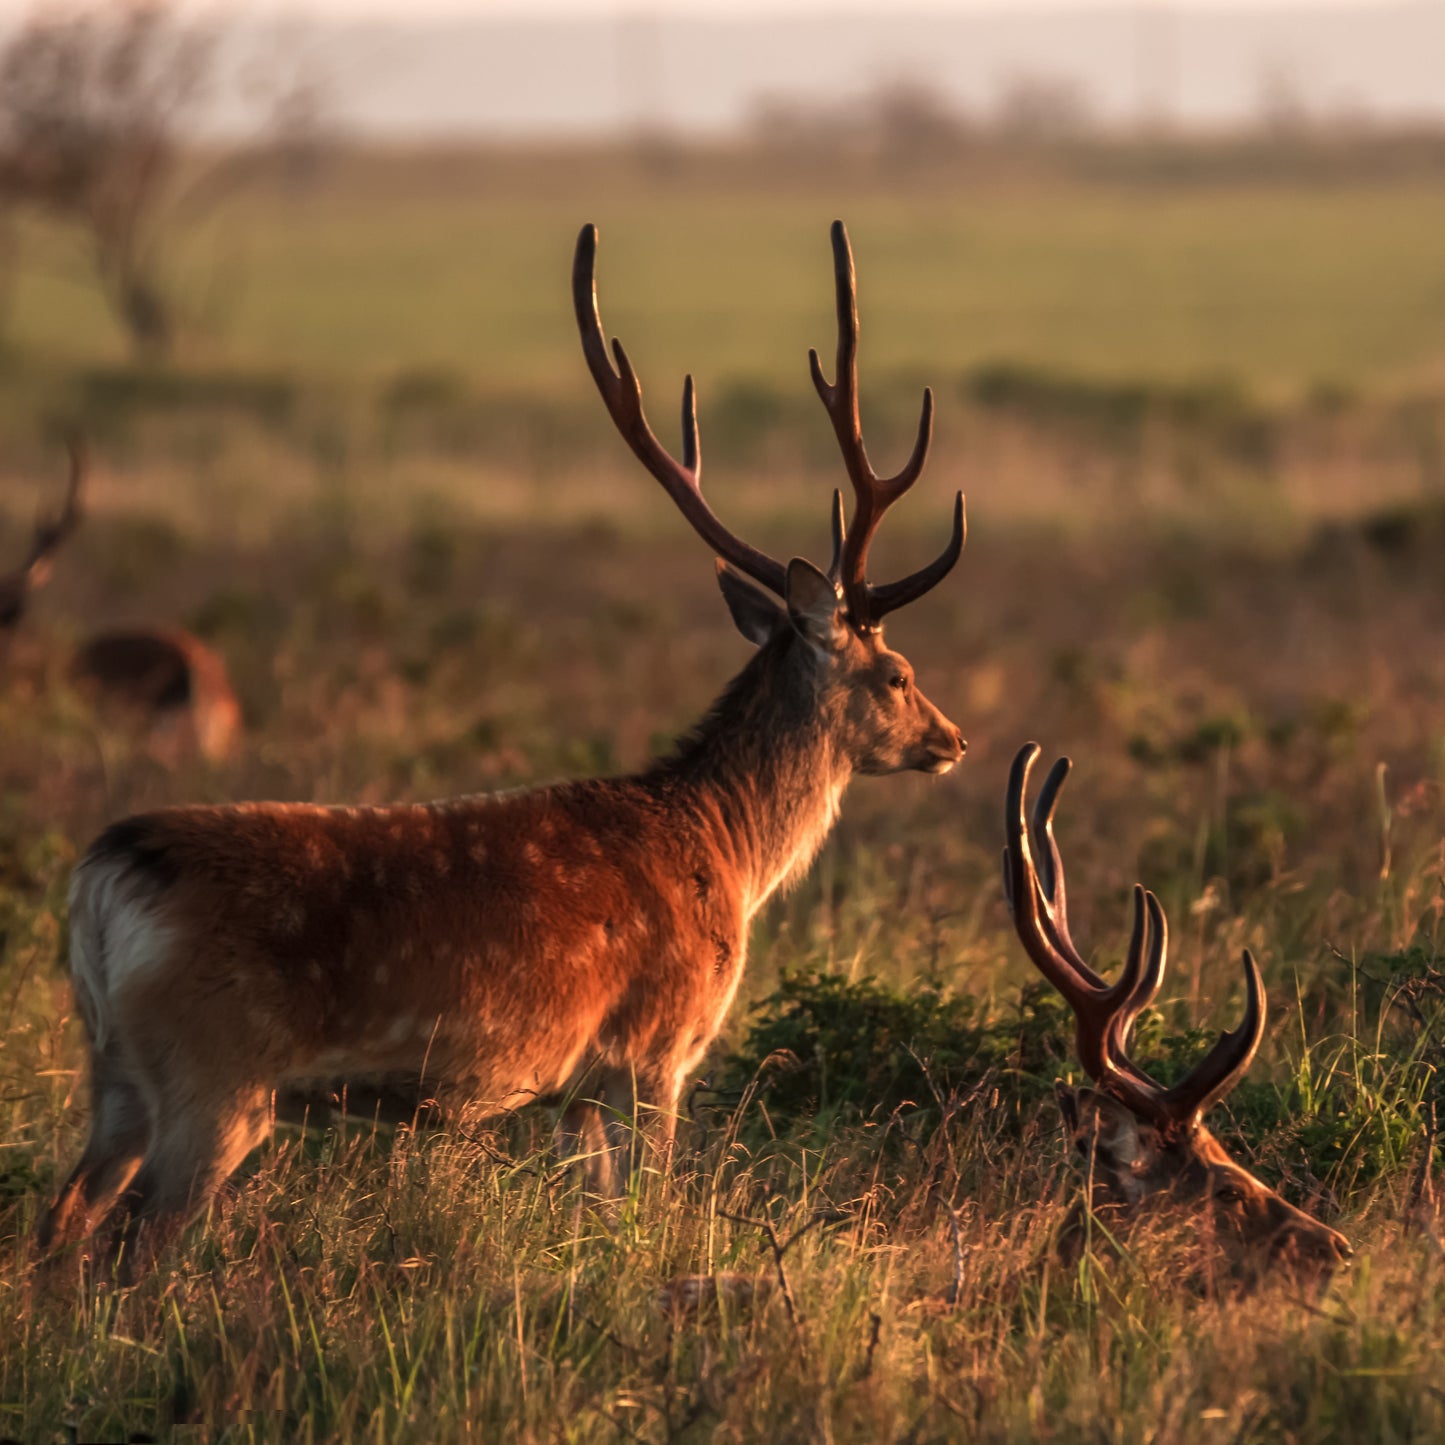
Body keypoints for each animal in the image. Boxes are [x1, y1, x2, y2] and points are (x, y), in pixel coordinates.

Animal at [38, 219, 968, 1261]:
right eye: (897, 674)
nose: (952, 738)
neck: (726, 853)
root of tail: (106, 874)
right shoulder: (655, 1048)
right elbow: (648, 1206)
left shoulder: (575, 1090)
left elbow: (595, 1211)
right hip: (217, 1073)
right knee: (137, 1238)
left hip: (115, 1069)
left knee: (59, 1218)